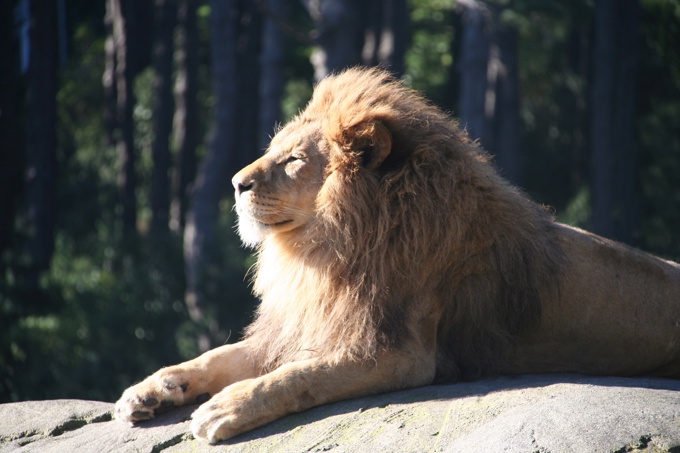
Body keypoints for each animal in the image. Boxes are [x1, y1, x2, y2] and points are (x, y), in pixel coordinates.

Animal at [115, 67, 680, 443]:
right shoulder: (307, 322)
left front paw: (224, 409)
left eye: (294, 160)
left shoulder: (399, 352)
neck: (325, 250)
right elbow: (219, 356)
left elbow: (300, 377)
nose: (235, 183)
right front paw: (149, 390)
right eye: (275, 150)